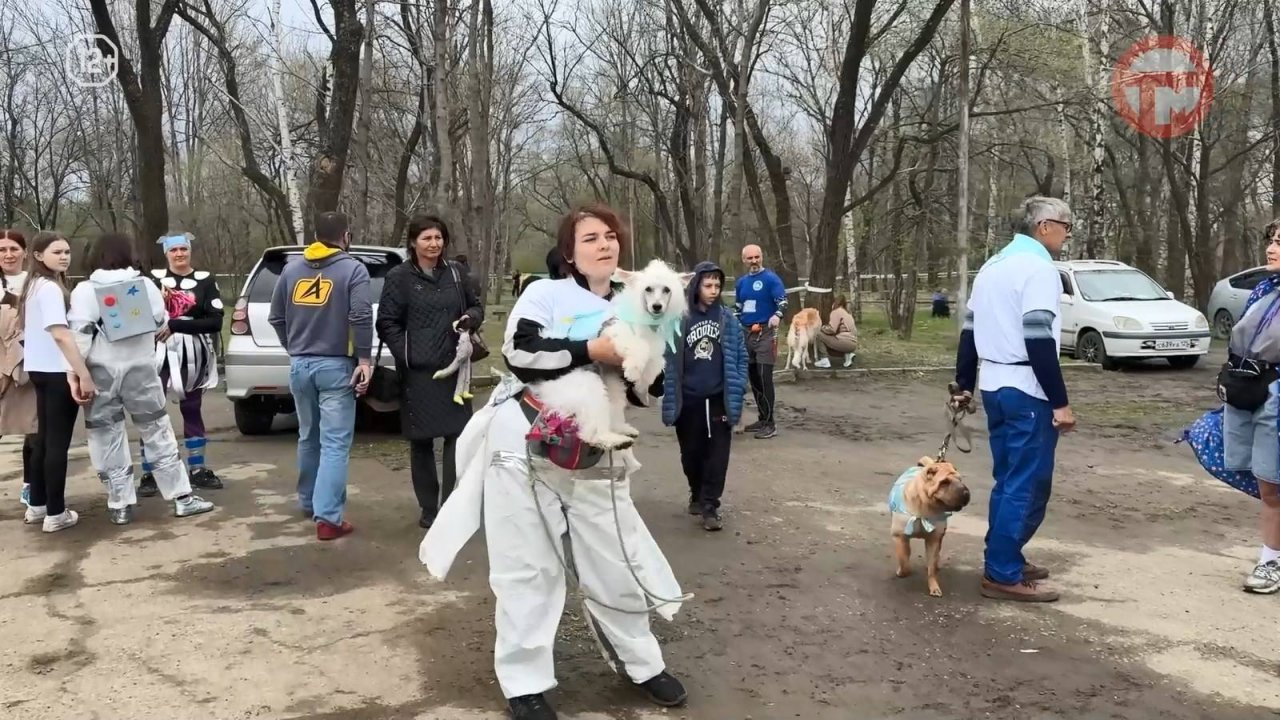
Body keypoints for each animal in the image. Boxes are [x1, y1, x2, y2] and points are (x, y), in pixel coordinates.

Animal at [529, 259, 691, 470]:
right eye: (648, 289)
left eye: (666, 290)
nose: (657, 306)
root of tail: (544, 390)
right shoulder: (615, 334)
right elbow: (638, 348)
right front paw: (634, 370)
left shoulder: (653, 348)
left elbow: (654, 362)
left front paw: (642, 383)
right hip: (586, 384)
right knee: (591, 432)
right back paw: (612, 439)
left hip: (611, 384)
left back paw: (622, 430)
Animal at [888, 456, 971, 597]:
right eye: (944, 482)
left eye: (960, 479)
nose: (966, 492)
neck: (926, 507)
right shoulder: (900, 537)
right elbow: (904, 560)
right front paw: (902, 572)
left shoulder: (934, 539)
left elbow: (932, 569)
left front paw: (934, 587)